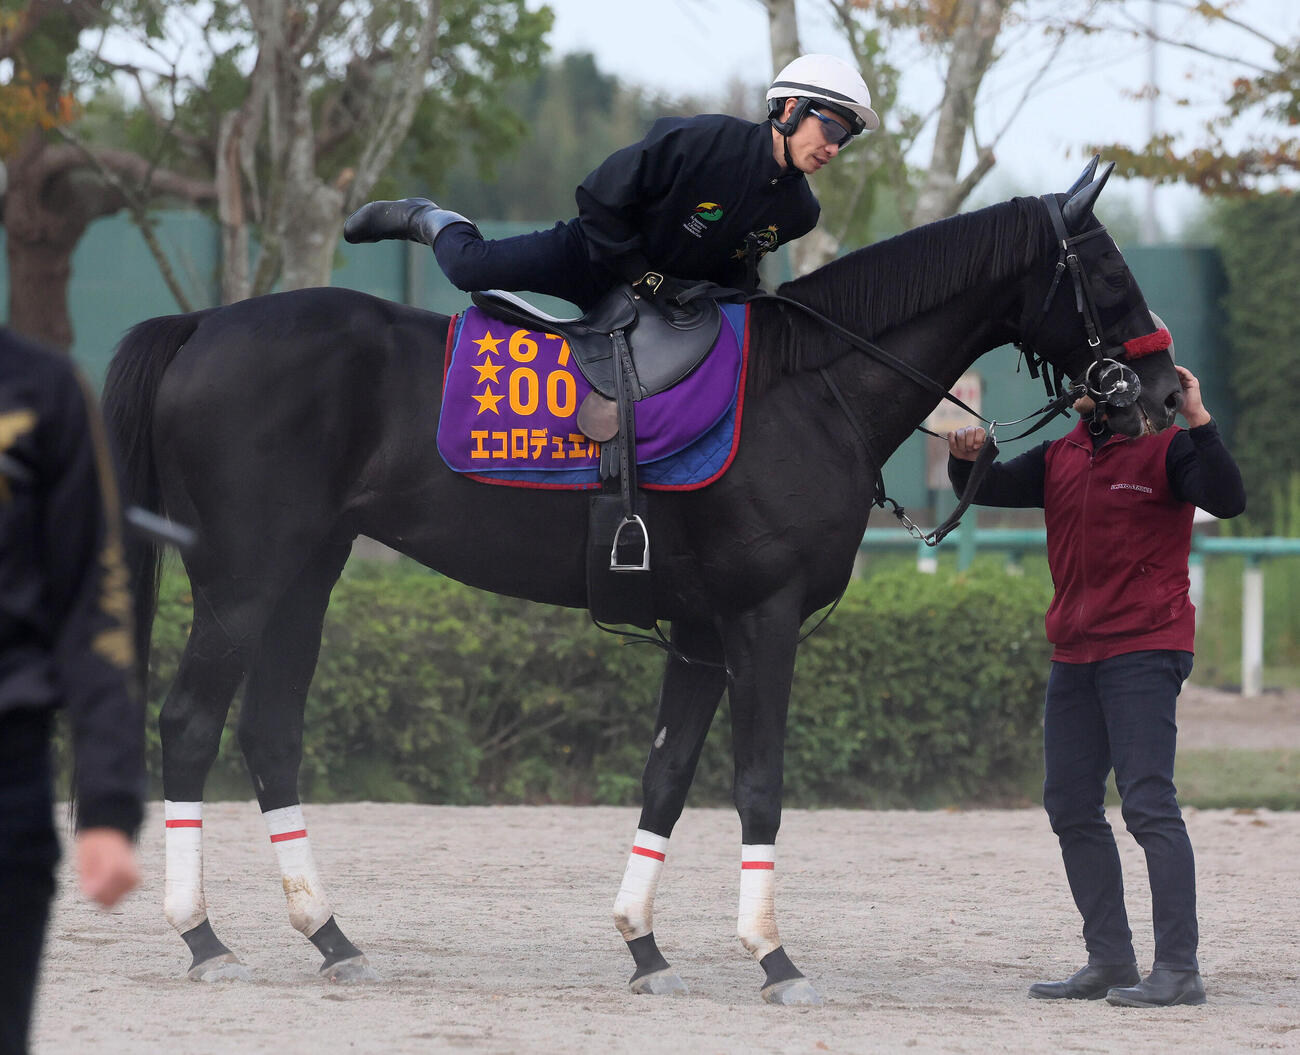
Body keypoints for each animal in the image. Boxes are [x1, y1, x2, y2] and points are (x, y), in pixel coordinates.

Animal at [103, 160, 1182, 1003]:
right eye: (1105, 269)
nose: (1166, 393)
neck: (806, 387)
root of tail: (202, 323)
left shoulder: (701, 632)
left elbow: (667, 776)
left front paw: (646, 945)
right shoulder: (761, 622)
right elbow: (758, 784)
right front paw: (772, 954)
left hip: (305, 577)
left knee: (269, 734)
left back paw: (328, 933)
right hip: (244, 580)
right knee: (189, 724)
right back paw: (203, 936)